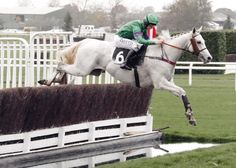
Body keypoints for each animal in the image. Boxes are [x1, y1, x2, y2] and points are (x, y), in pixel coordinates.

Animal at [38, 26, 212, 126]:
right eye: (199, 42)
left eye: (204, 40)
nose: (209, 58)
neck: (163, 54)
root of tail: (84, 42)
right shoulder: (160, 83)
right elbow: (182, 91)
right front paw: (190, 117)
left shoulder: (168, 82)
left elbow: (182, 92)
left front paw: (191, 117)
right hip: (82, 69)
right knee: (60, 64)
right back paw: (48, 80)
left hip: (86, 69)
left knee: (64, 68)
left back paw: (53, 80)